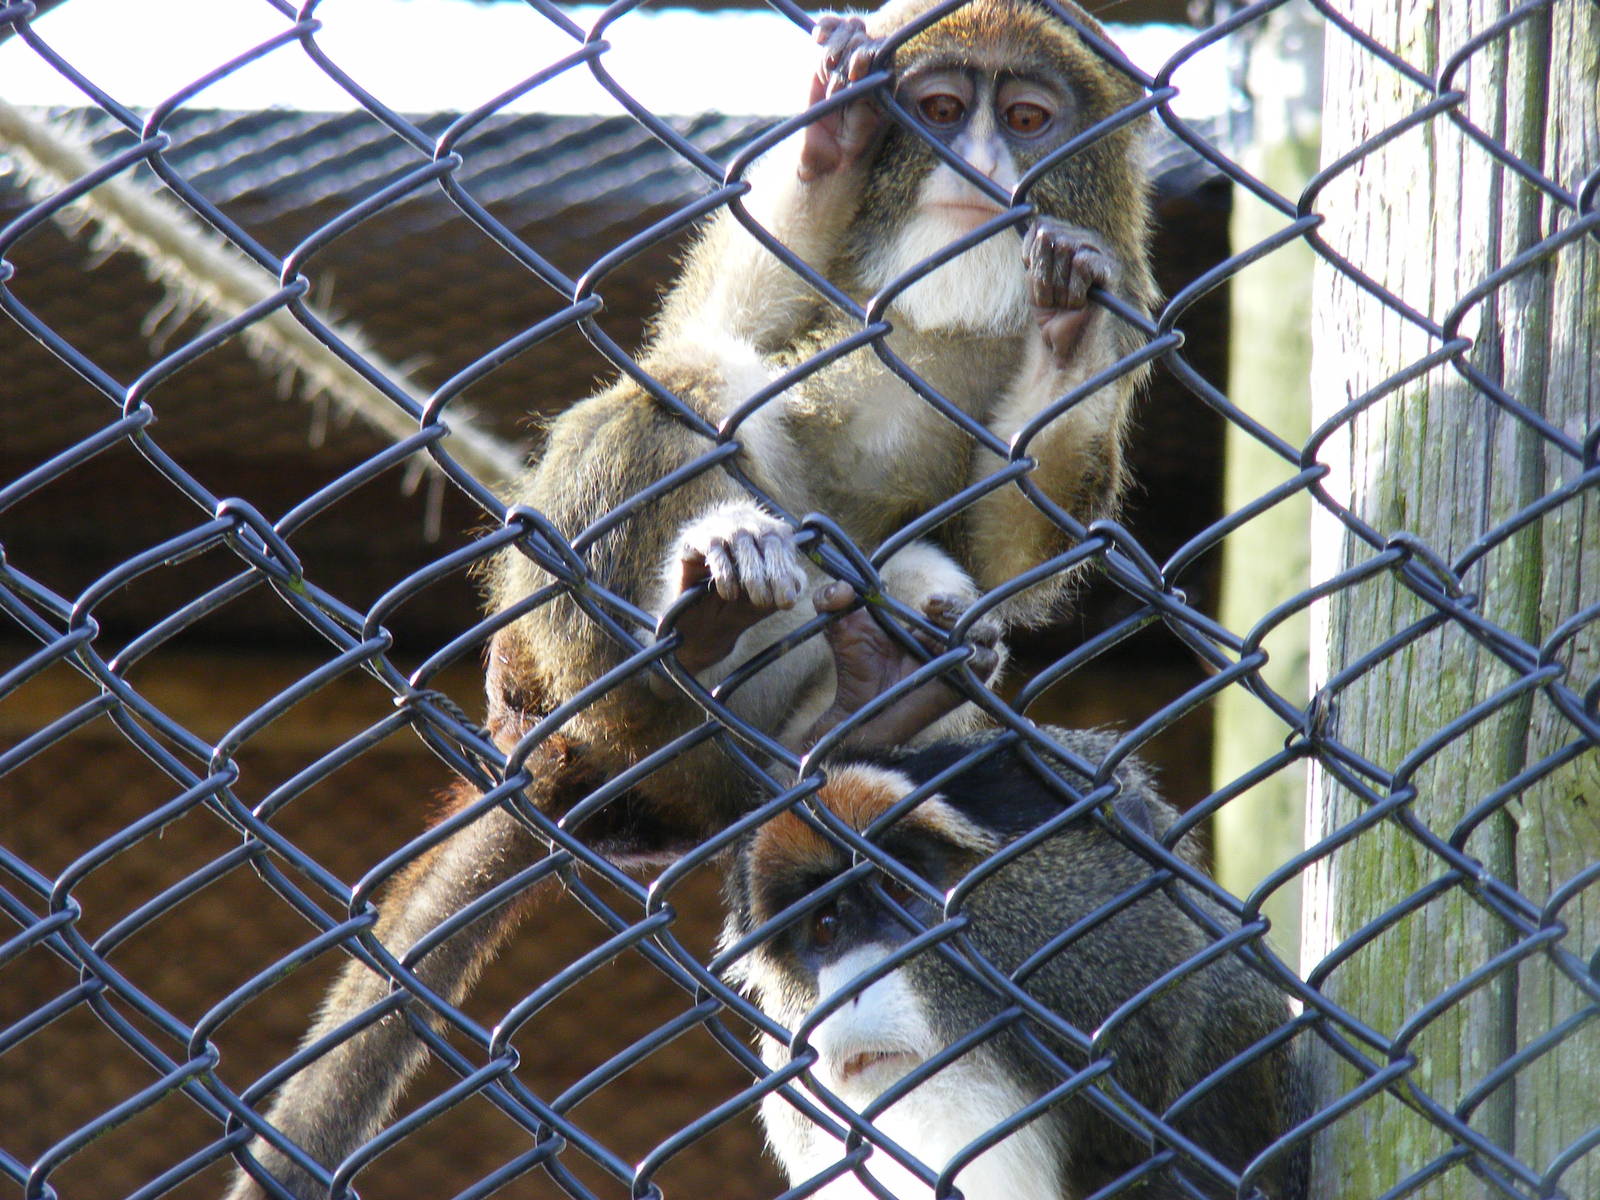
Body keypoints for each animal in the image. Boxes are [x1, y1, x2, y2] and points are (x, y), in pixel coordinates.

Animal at [224, 1, 1157, 1194]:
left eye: (1028, 119)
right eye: (944, 109)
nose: (981, 164)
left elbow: (1015, 536)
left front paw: (1070, 334)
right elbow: (713, 334)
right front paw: (828, 143)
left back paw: (872, 692)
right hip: (554, 650)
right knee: (700, 384)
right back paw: (684, 652)